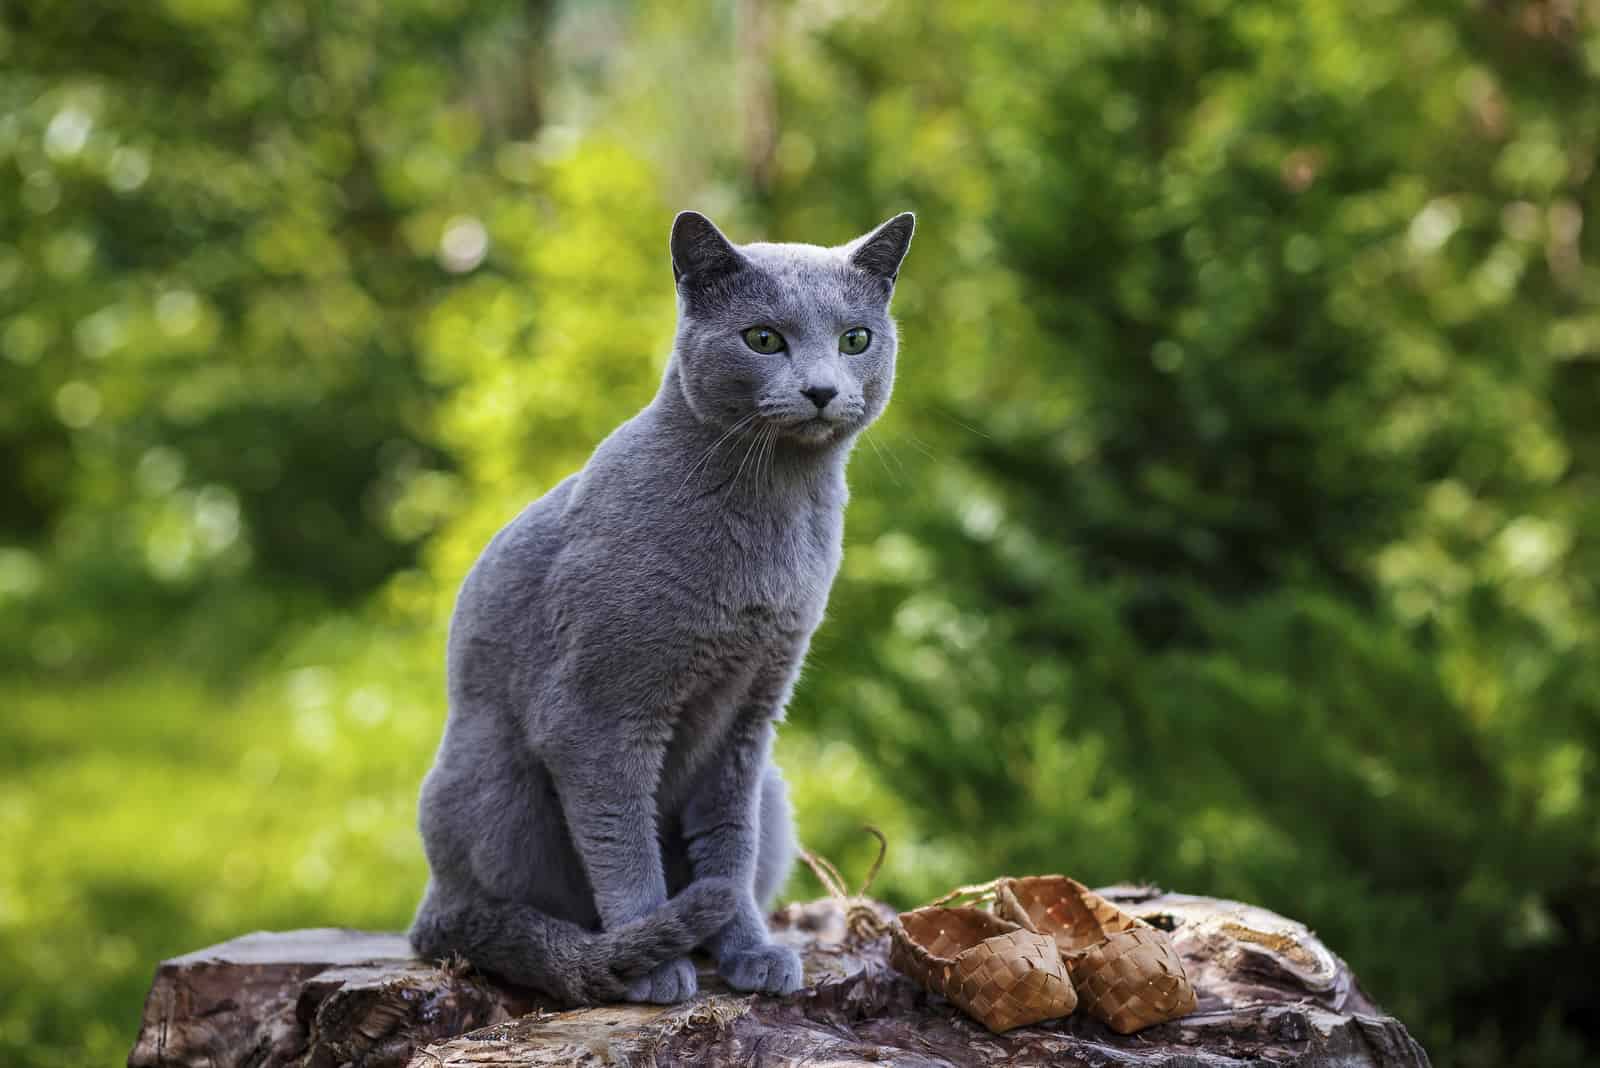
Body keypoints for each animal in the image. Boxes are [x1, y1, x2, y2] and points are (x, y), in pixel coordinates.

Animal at [412, 206, 915, 1004]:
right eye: (763, 339)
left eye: (855, 339)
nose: (821, 389)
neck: (775, 512)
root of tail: (431, 903)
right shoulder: (595, 715)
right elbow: (623, 845)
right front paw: (653, 964)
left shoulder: (750, 717)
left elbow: (729, 848)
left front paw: (748, 951)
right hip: (495, 772)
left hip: (775, 790)